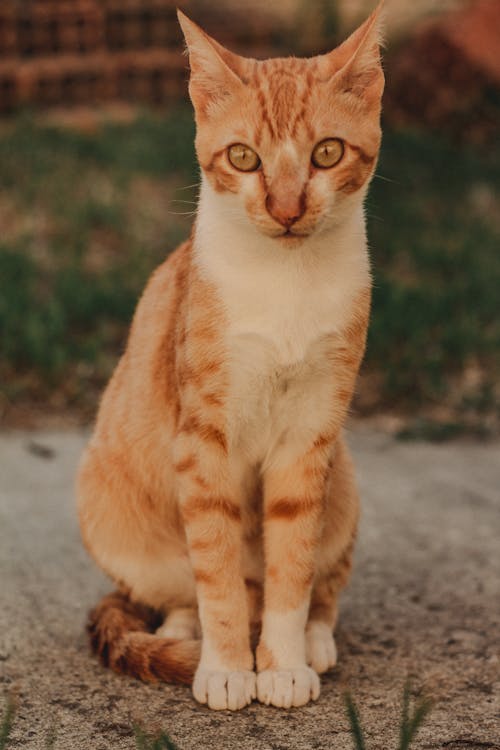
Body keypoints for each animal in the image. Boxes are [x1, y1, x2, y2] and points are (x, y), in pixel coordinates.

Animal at [76, 4, 384, 712]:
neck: (286, 282)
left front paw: (282, 662)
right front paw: (224, 665)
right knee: (180, 592)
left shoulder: (311, 434)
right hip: (109, 512)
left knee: (323, 582)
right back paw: (186, 633)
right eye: (243, 157)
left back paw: (314, 640)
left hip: (345, 485)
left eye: (327, 152)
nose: (286, 209)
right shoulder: (203, 439)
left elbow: (293, 566)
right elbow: (215, 567)